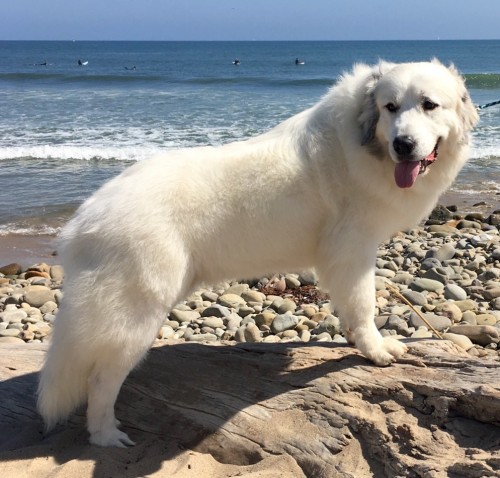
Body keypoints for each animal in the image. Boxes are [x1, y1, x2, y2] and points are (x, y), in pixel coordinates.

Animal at [38, 60, 478, 447]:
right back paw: (105, 435)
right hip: (135, 314)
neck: (360, 141)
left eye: (429, 105)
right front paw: (376, 350)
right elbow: (364, 305)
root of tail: (85, 218)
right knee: (101, 380)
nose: (404, 144)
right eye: (391, 107)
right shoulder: (352, 252)